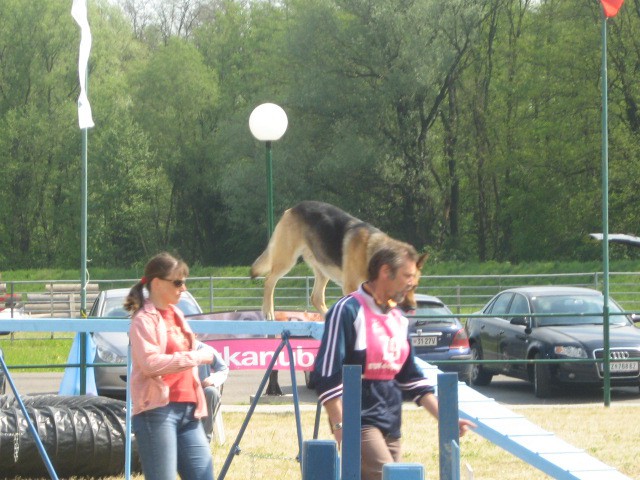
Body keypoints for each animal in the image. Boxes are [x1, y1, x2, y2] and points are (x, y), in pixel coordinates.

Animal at [249, 202, 424, 318]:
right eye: (406, 286)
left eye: (414, 287)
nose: (412, 307)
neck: (373, 257)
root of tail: (292, 208)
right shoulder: (351, 287)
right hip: (287, 260)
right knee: (269, 280)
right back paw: (268, 310)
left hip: (323, 268)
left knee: (316, 297)